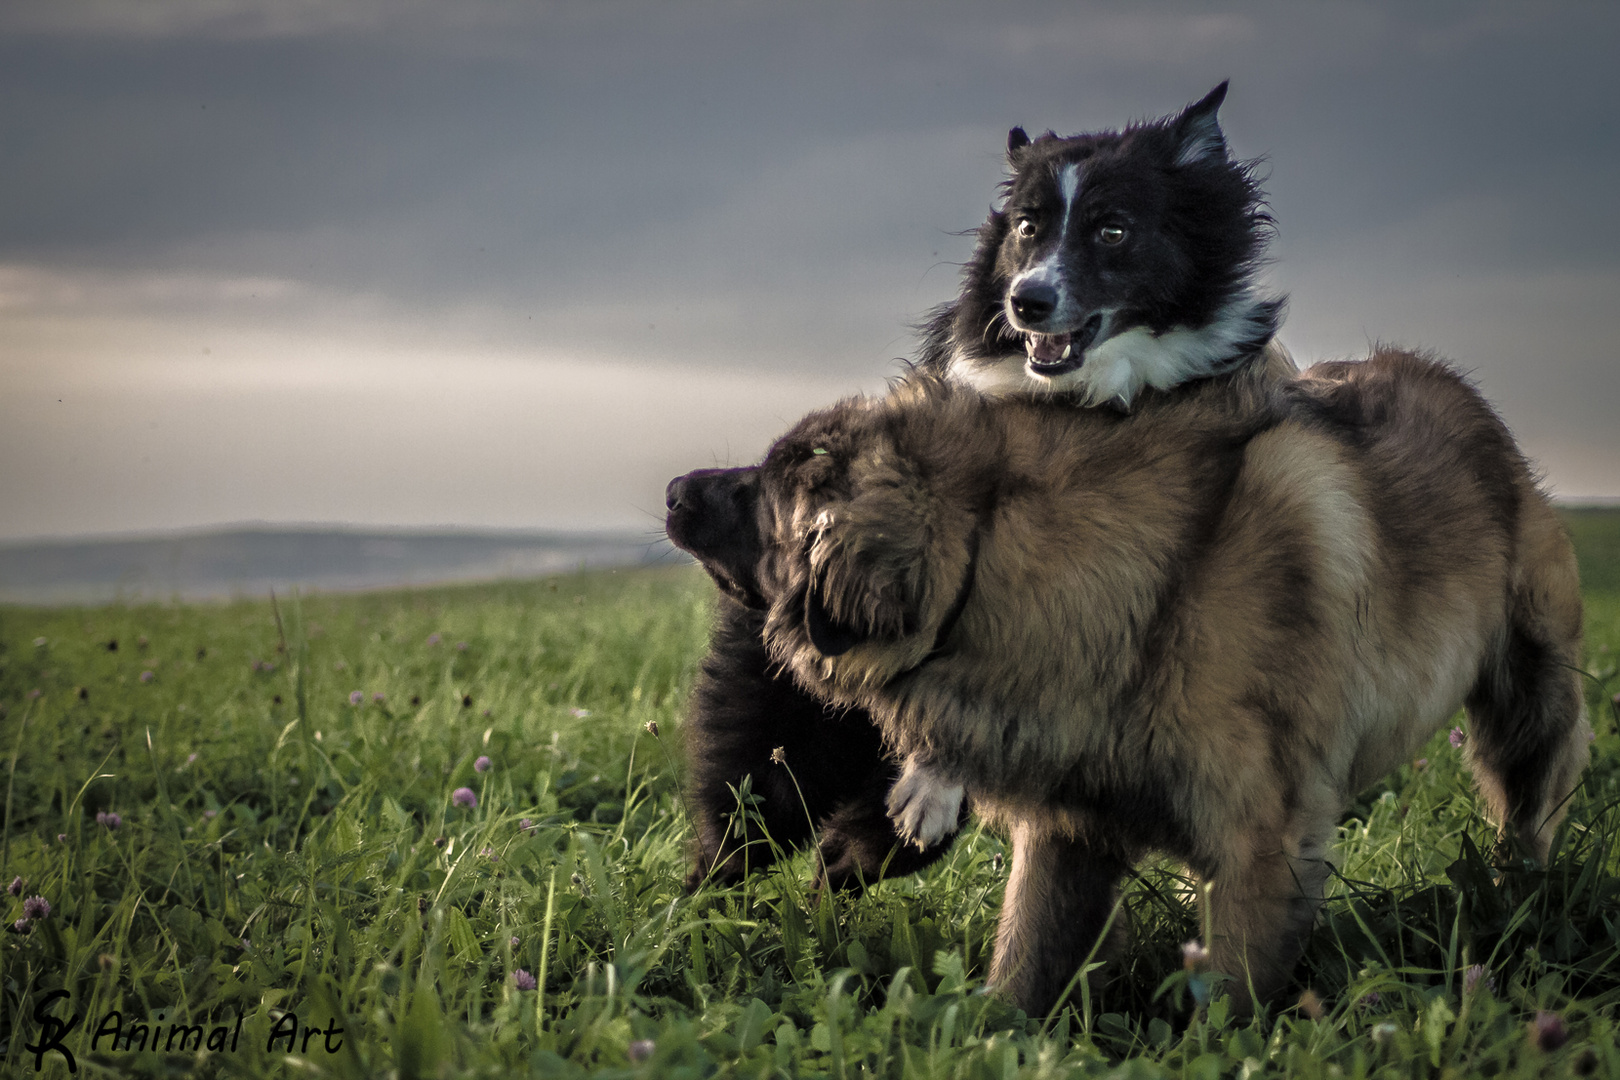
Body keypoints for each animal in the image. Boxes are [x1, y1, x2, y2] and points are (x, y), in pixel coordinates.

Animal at [664, 352, 1587, 1016]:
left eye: (765, 489)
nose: (673, 489)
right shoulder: (1070, 830)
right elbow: (1020, 965)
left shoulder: (1262, 842)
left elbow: (1222, 1003)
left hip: (1531, 708)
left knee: (1527, 815)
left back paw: (1521, 908)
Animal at [670, 84, 1289, 893]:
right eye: (1026, 227)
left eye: (1113, 230)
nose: (1027, 301)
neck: (1087, 401)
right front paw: (922, 798)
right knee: (748, 816)